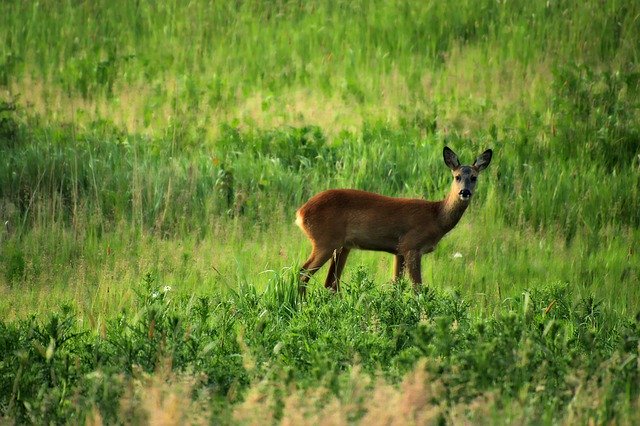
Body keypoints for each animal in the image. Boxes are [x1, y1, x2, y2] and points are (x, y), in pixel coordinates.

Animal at [292, 145, 492, 294]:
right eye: (457, 177)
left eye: (474, 177)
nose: (464, 192)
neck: (436, 217)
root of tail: (301, 213)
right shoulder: (412, 246)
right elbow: (417, 288)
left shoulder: (399, 251)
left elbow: (396, 285)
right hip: (325, 241)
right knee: (303, 273)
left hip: (342, 246)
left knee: (330, 283)